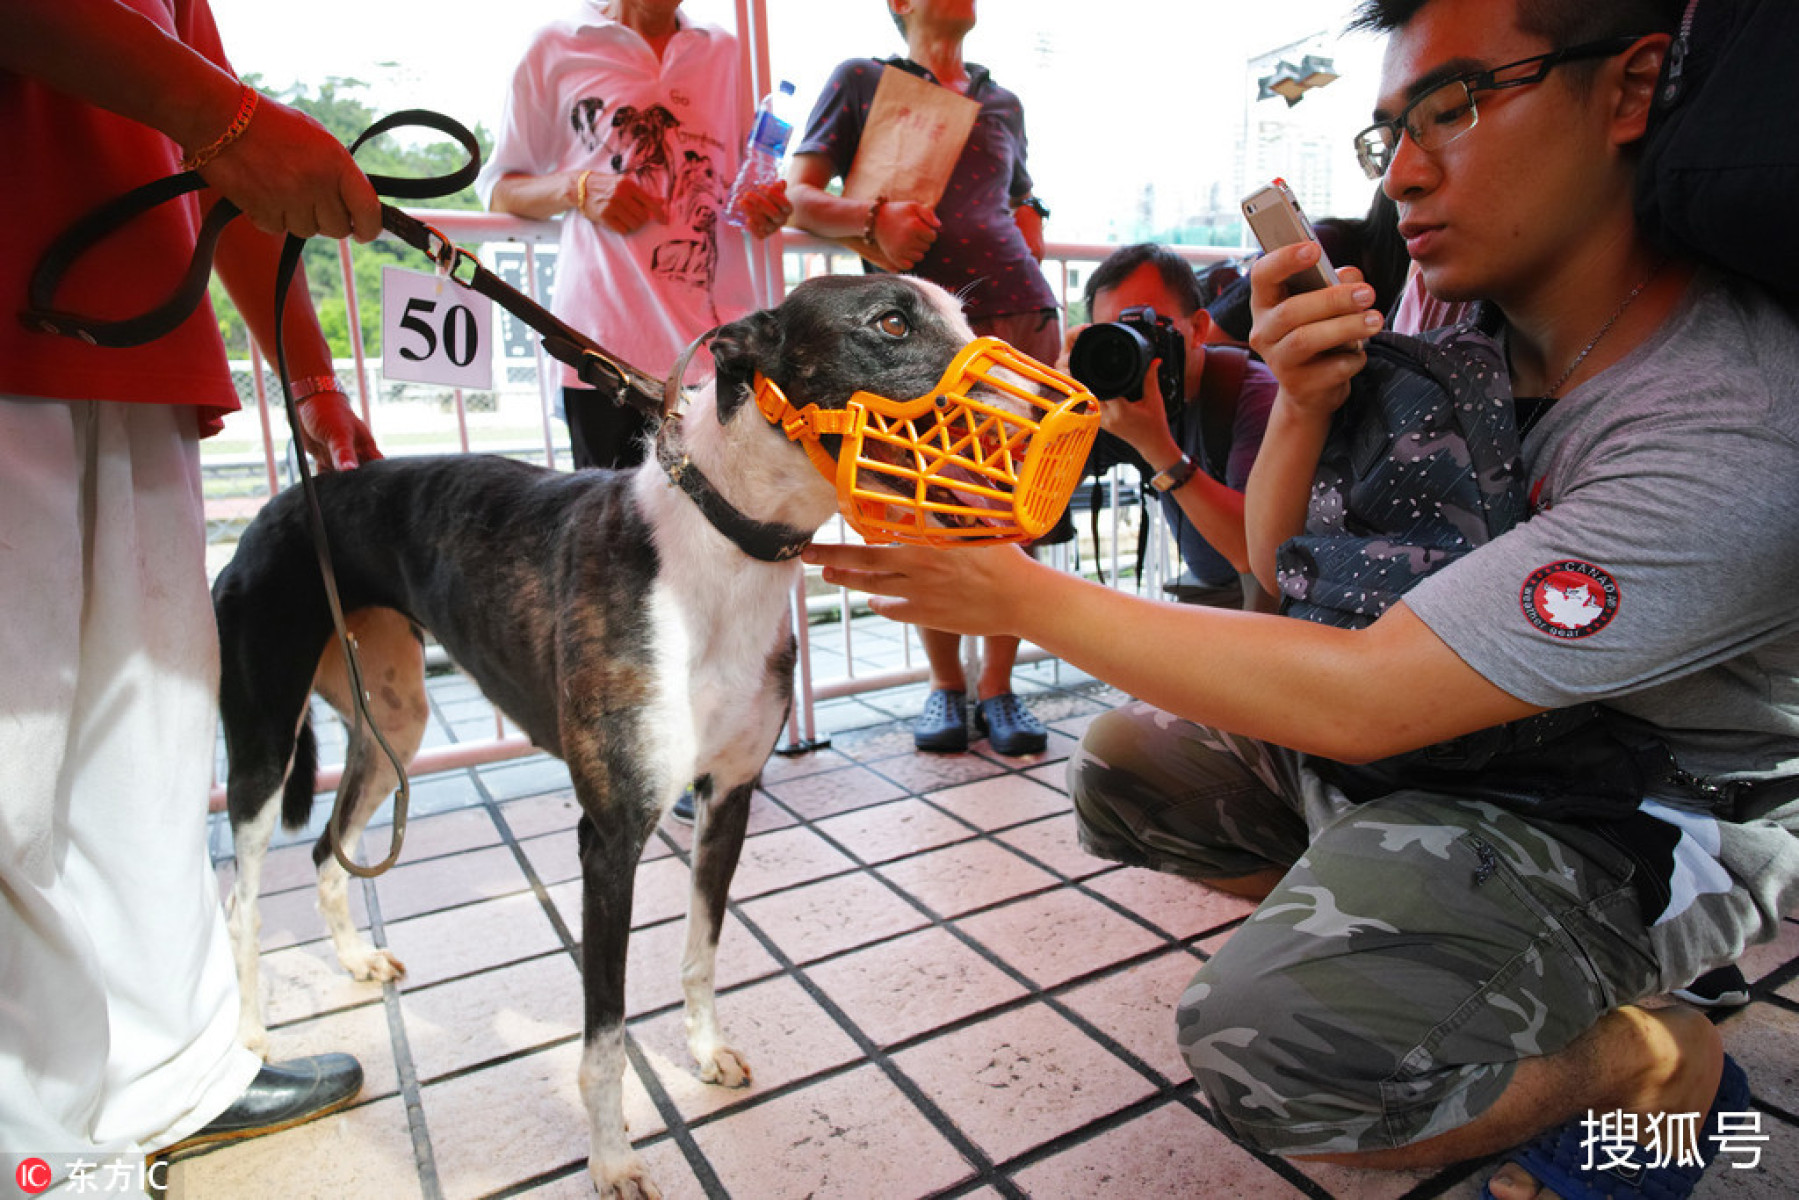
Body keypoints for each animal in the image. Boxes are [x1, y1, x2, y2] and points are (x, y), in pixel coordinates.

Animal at [212, 277, 1014, 1194]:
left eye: (966, 318)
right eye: (890, 323)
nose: (1082, 416)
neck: (723, 545)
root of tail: (285, 500)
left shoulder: (729, 797)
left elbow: (701, 952)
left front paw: (704, 1053)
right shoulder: (611, 837)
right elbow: (605, 1032)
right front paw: (611, 1158)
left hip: (395, 723)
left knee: (326, 847)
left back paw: (355, 961)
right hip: (263, 740)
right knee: (241, 894)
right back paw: (247, 1046)